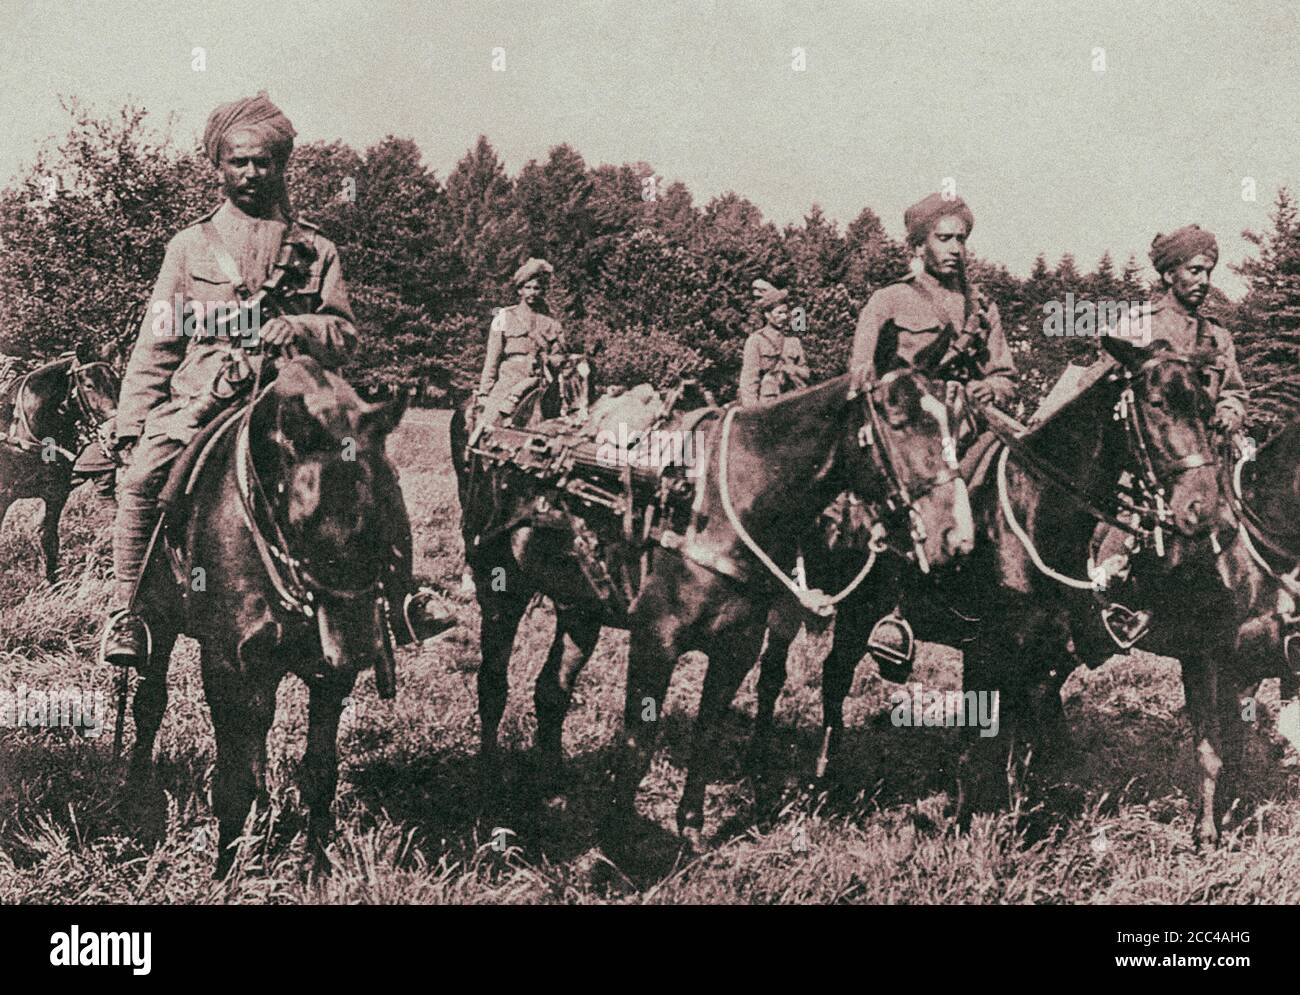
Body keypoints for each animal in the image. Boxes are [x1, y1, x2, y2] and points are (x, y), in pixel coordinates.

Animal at [122, 353, 405, 874]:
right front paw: (225, 874)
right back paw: (133, 790)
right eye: (302, 518)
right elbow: (234, 782)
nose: (357, 649)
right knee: (149, 705)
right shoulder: (228, 665)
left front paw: (316, 867)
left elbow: (318, 772)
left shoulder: (326, 677)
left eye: (386, 502)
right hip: (159, 621)